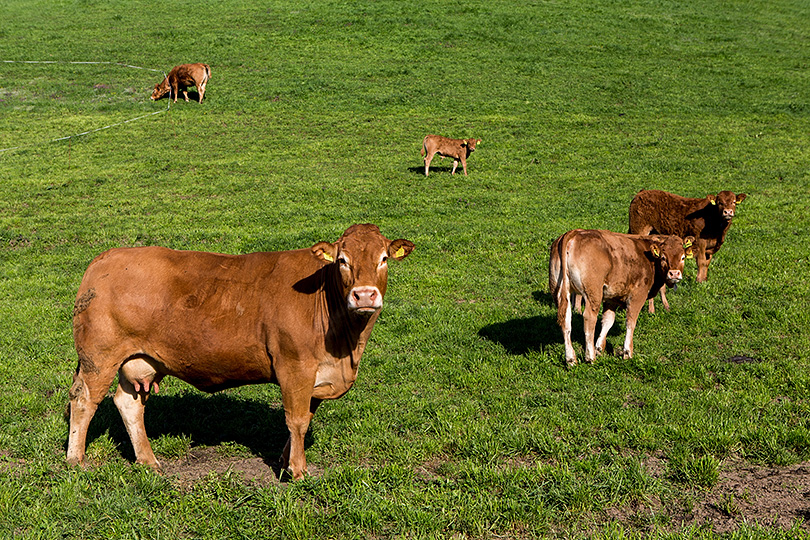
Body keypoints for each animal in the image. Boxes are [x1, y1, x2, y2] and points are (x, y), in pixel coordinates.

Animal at [66, 226, 414, 478]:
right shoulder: (295, 366)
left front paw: (285, 460)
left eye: (384, 258)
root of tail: (107, 257)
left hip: (140, 359)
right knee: (83, 400)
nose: (364, 295)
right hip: (99, 357)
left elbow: (303, 419)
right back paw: (75, 460)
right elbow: (296, 420)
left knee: (128, 404)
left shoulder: (317, 377)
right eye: (342, 260)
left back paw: (148, 461)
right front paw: (298, 471)